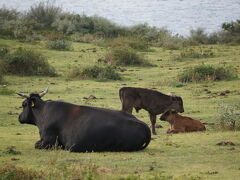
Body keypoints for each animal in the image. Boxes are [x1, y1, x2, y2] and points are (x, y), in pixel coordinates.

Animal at [16, 88, 151, 152]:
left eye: (23, 104)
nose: (19, 117)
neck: (43, 113)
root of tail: (145, 127)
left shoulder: (47, 141)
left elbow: (36, 144)